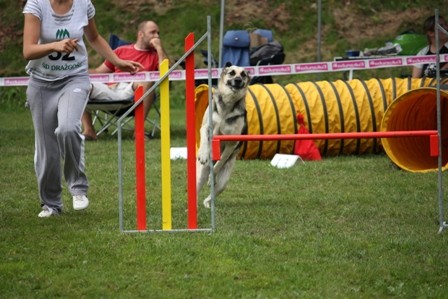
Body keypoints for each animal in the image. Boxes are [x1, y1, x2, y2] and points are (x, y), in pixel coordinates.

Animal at [197, 64, 252, 207]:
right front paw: (203, 154)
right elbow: (204, 139)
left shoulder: (231, 144)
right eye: (232, 73)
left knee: (212, 193)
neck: (227, 104)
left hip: (224, 182)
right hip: (199, 175)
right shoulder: (205, 127)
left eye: (243, 75)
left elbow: (220, 161)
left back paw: (207, 201)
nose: (238, 80)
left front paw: (212, 176)